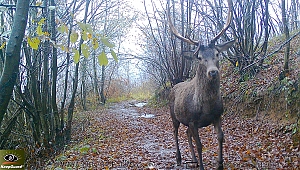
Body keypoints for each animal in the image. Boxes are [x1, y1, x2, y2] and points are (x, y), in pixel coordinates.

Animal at [169, 0, 234, 169]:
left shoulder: (217, 115)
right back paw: (179, 158)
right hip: (173, 115)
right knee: (175, 132)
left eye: (217, 53)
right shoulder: (192, 120)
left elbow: (220, 137)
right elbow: (200, 145)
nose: (212, 72)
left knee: (186, 134)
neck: (206, 106)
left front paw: (220, 164)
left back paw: (193, 159)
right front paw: (203, 166)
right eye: (199, 57)